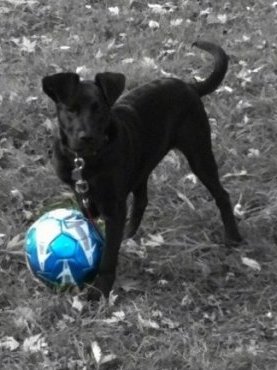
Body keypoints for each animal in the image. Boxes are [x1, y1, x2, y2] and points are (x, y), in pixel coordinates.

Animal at [41, 40, 242, 300]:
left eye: (100, 109)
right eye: (71, 110)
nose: (87, 137)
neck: (84, 161)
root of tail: (189, 86)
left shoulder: (114, 207)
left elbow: (108, 254)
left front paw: (100, 288)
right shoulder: (82, 196)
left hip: (199, 153)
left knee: (222, 195)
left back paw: (233, 237)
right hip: (143, 163)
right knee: (142, 200)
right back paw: (129, 236)